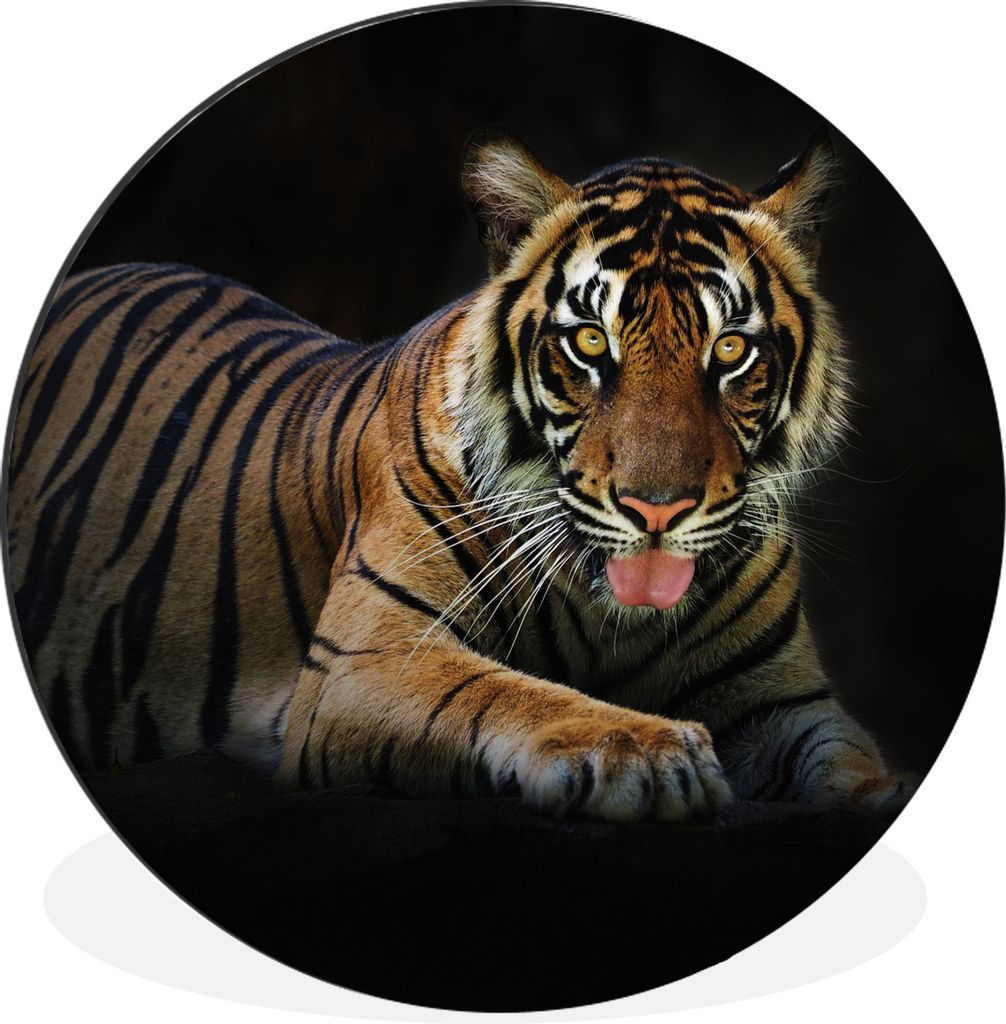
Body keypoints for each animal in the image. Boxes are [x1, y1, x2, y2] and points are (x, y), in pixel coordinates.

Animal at [6, 127, 913, 822]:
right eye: (591, 342)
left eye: (729, 350)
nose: (656, 510)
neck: (612, 621)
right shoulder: (371, 658)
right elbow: (508, 692)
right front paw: (646, 751)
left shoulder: (779, 702)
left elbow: (847, 756)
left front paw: (888, 792)